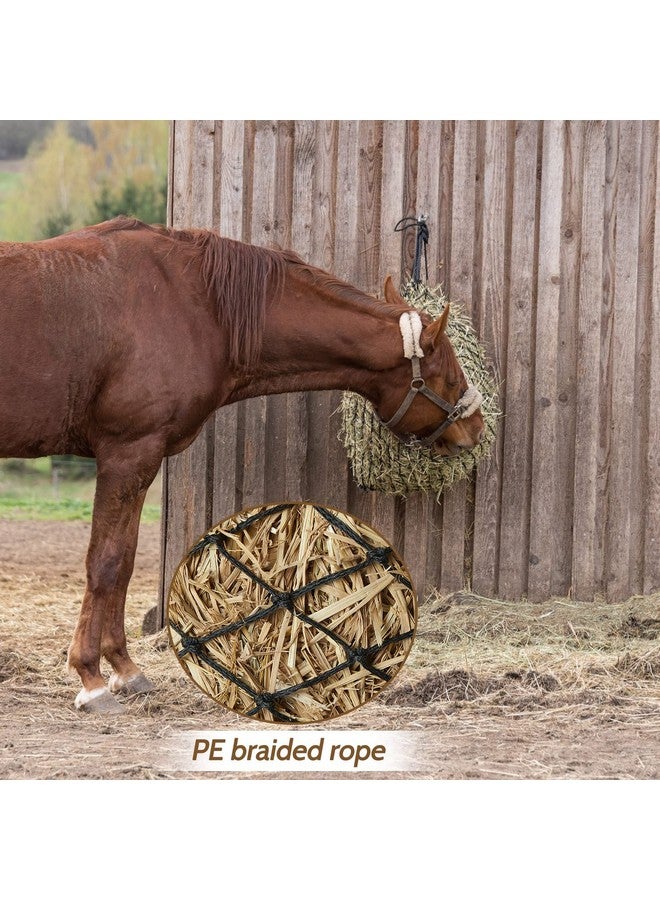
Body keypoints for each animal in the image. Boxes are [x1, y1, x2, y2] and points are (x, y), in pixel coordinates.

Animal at [0, 217, 484, 713]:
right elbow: (106, 563)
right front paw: (91, 679)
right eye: (449, 377)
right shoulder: (128, 453)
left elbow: (126, 560)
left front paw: (125, 670)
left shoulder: (138, 461)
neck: (194, 305)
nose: (476, 429)